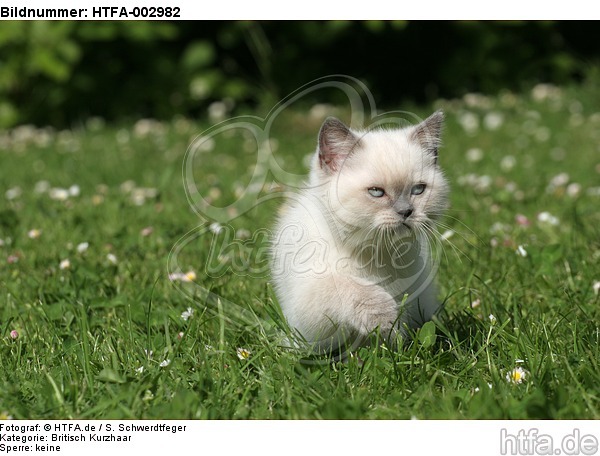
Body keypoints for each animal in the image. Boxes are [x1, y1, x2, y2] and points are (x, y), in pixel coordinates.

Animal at [270, 110, 448, 352]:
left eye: (418, 189)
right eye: (376, 192)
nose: (406, 212)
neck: (375, 251)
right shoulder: (305, 314)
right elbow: (346, 285)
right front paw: (385, 318)